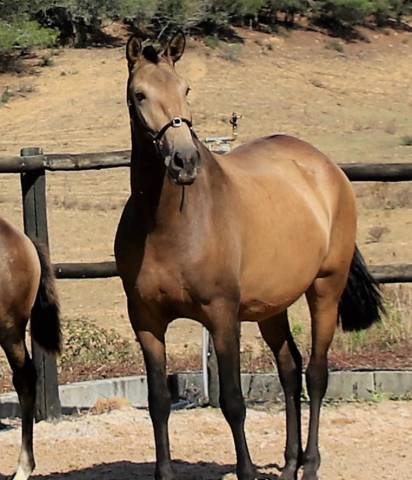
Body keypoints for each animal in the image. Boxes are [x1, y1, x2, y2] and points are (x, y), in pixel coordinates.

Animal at [115, 31, 384, 478]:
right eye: (140, 95)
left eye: (186, 89)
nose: (184, 161)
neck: (168, 224)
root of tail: (327, 168)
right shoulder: (147, 322)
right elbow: (158, 404)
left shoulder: (223, 317)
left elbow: (233, 401)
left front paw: (247, 470)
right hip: (271, 307)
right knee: (290, 369)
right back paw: (290, 464)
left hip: (325, 289)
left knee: (316, 373)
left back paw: (310, 464)